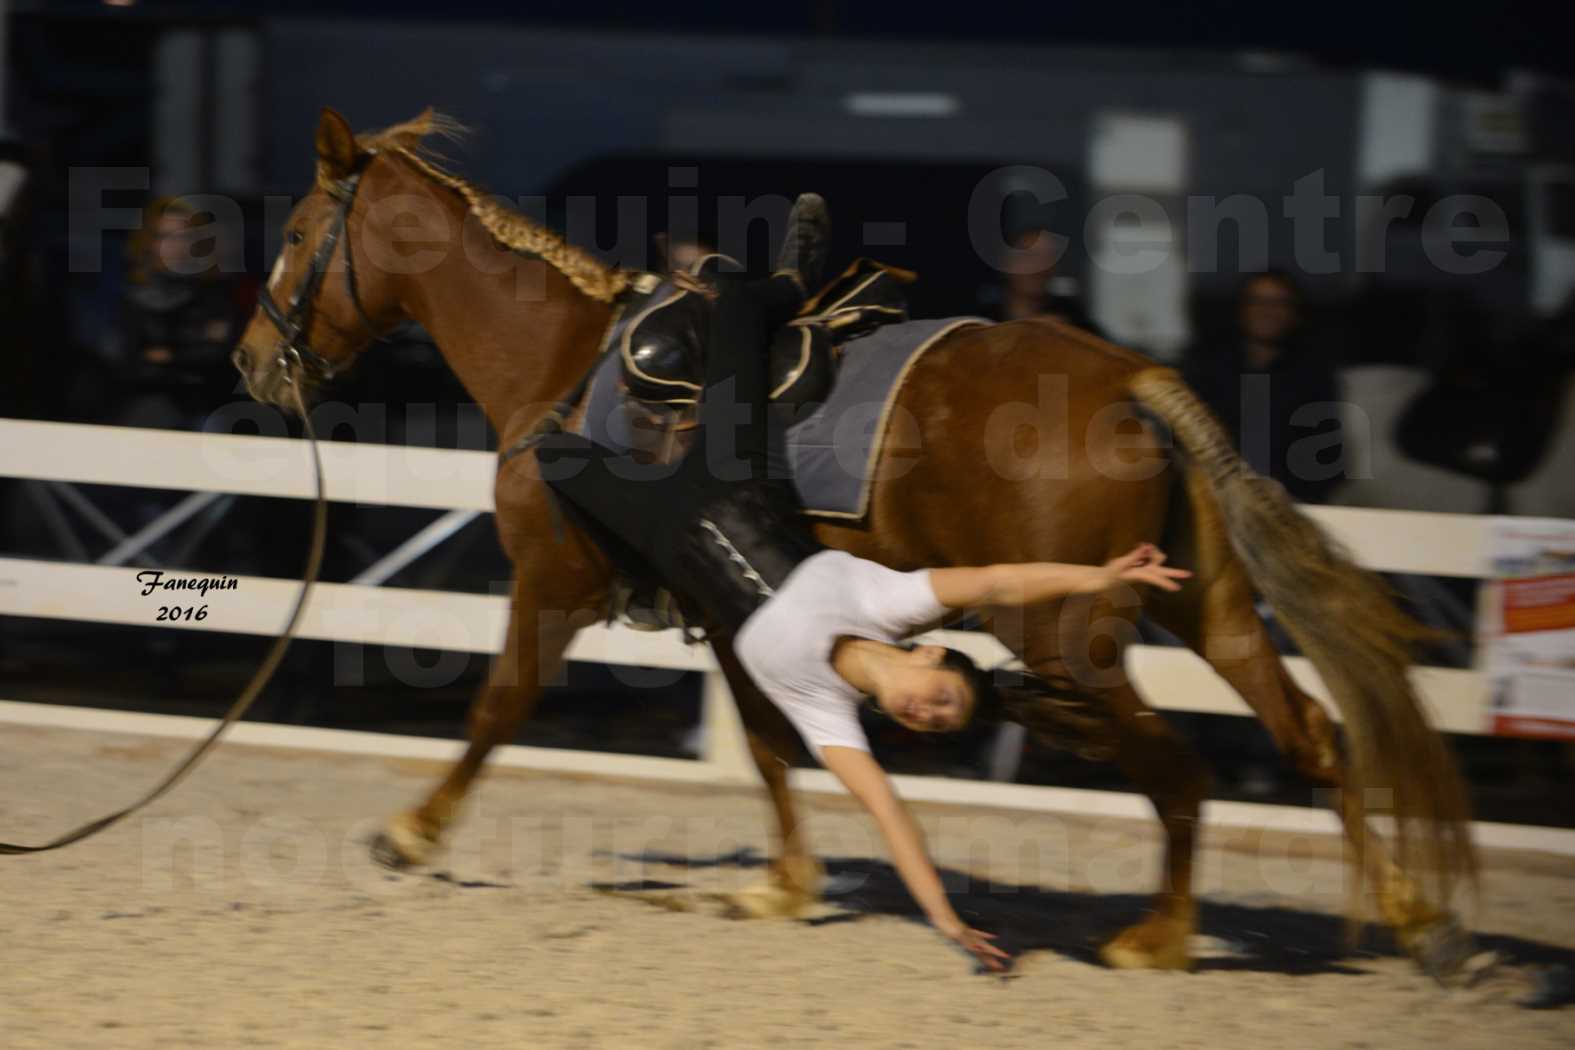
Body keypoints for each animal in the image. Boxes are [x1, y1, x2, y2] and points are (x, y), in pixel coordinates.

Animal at [233, 108, 1474, 976]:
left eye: (295, 235)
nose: (251, 360)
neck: (568, 367)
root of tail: (1129, 378)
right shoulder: (733, 616)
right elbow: (771, 745)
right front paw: (783, 883)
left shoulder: (553, 583)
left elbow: (498, 709)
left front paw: (413, 834)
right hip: (1200, 604)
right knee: (1311, 734)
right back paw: (1405, 912)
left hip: (1069, 637)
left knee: (1182, 770)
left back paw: (1161, 937)